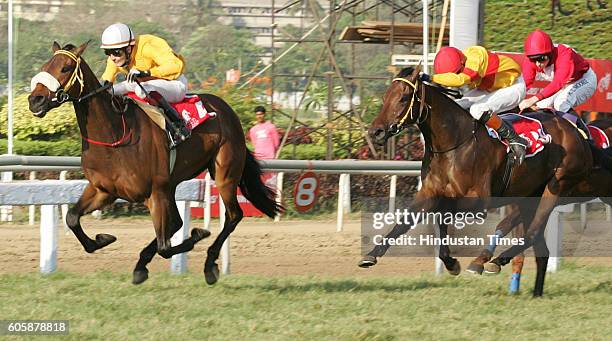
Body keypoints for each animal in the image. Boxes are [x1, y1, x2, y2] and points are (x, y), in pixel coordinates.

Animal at [25, 42, 280, 284]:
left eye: (66, 68)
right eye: (45, 66)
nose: (35, 100)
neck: (114, 135)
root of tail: (226, 109)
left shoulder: (154, 192)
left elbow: (165, 246)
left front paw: (196, 236)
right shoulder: (103, 190)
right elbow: (72, 218)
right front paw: (103, 239)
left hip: (223, 173)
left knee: (233, 215)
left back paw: (209, 265)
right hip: (172, 185)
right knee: (179, 222)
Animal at [360, 66, 604, 294]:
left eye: (403, 97)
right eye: (385, 97)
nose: (376, 132)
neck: (453, 144)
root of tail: (576, 131)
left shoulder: (478, 201)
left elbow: (443, 213)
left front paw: (454, 261)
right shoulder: (429, 193)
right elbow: (405, 222)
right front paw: (372, 255)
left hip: (556, 185)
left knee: (532, 231)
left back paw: (489, 261)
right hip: (529, 193)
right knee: (534, 241)